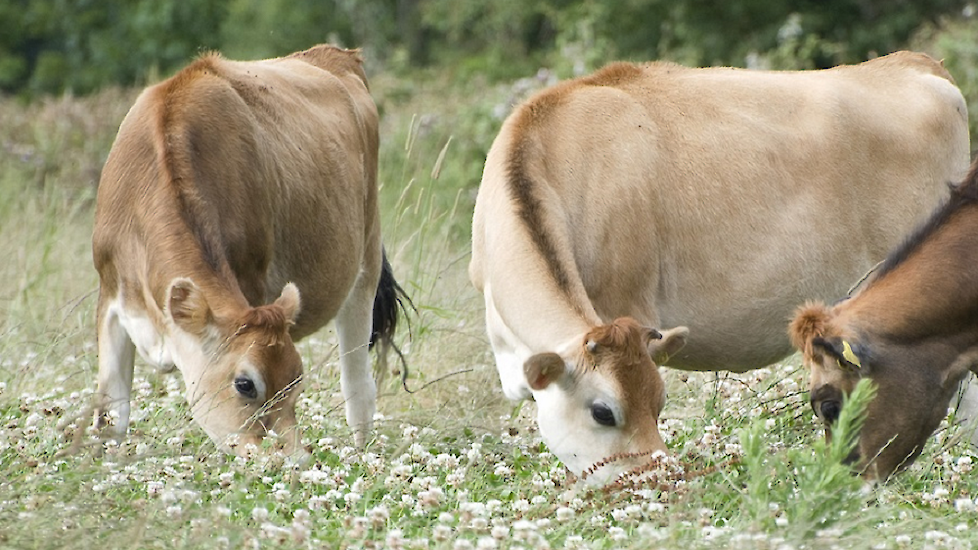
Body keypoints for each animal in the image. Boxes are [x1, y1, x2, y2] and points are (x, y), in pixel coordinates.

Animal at [86, 45, 400, 458]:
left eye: (297, 381)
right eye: (245, 383)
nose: (295, 459)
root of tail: (335, 54)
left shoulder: (251, 282)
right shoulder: (110, 296)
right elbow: (110, 417)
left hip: (365, 261)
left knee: (359, 386)